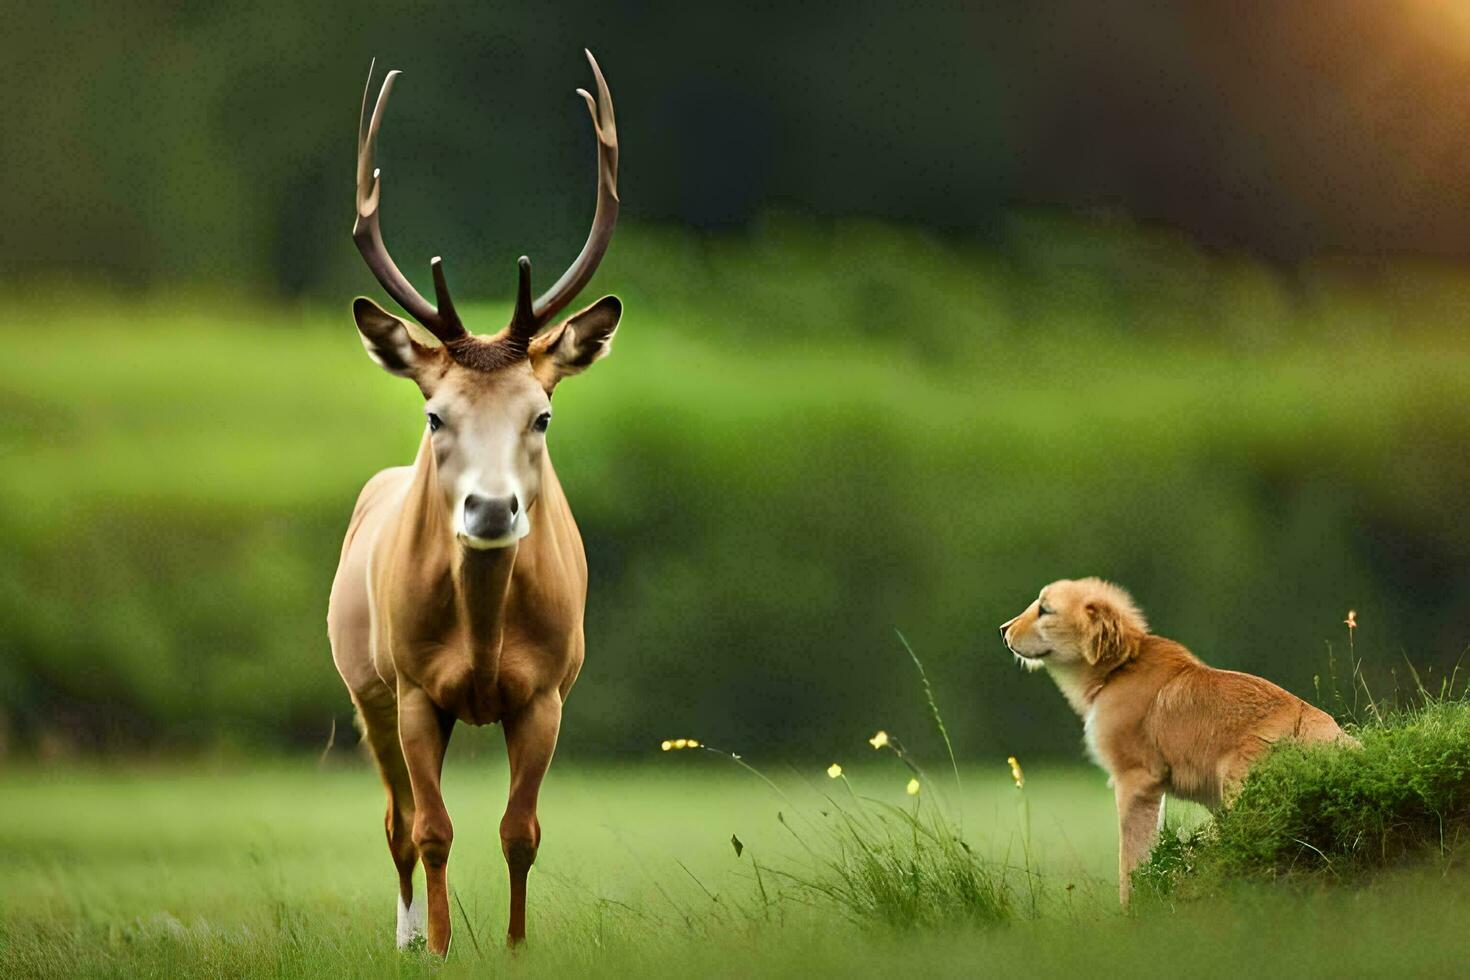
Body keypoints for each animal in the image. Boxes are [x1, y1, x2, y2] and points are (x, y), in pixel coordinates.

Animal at [330, 49, 623, 952]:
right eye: (436, 415)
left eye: (543, 414)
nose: (492, 512)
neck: (487, 634)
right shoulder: (415, 690)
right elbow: (432, 830)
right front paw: (441, 946)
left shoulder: (550, 690)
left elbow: (519, 832)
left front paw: (519, 946)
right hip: (367, 686)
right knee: (395, 821)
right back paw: (405, 937)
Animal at [999, 575, 1352, 905]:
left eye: (1045, 609)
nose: (1004, 630)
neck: (1119, 668)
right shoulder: (1156, 789)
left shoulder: (1135, 780)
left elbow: (1131, 859)